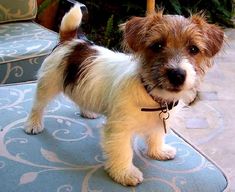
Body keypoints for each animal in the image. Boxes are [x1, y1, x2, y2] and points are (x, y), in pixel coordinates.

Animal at [24, 3, 225, 186]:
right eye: (157, 45)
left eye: (193, 49)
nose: (177, 74)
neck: (151, 95)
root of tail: (70, 42)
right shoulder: (119, 129)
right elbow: (123, 151)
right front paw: (125, 173)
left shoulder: (159, 122)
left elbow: (156, 135)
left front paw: (158, 151)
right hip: (48, 84)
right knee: (37, 105)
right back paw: (33, 124)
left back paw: (88, 111)